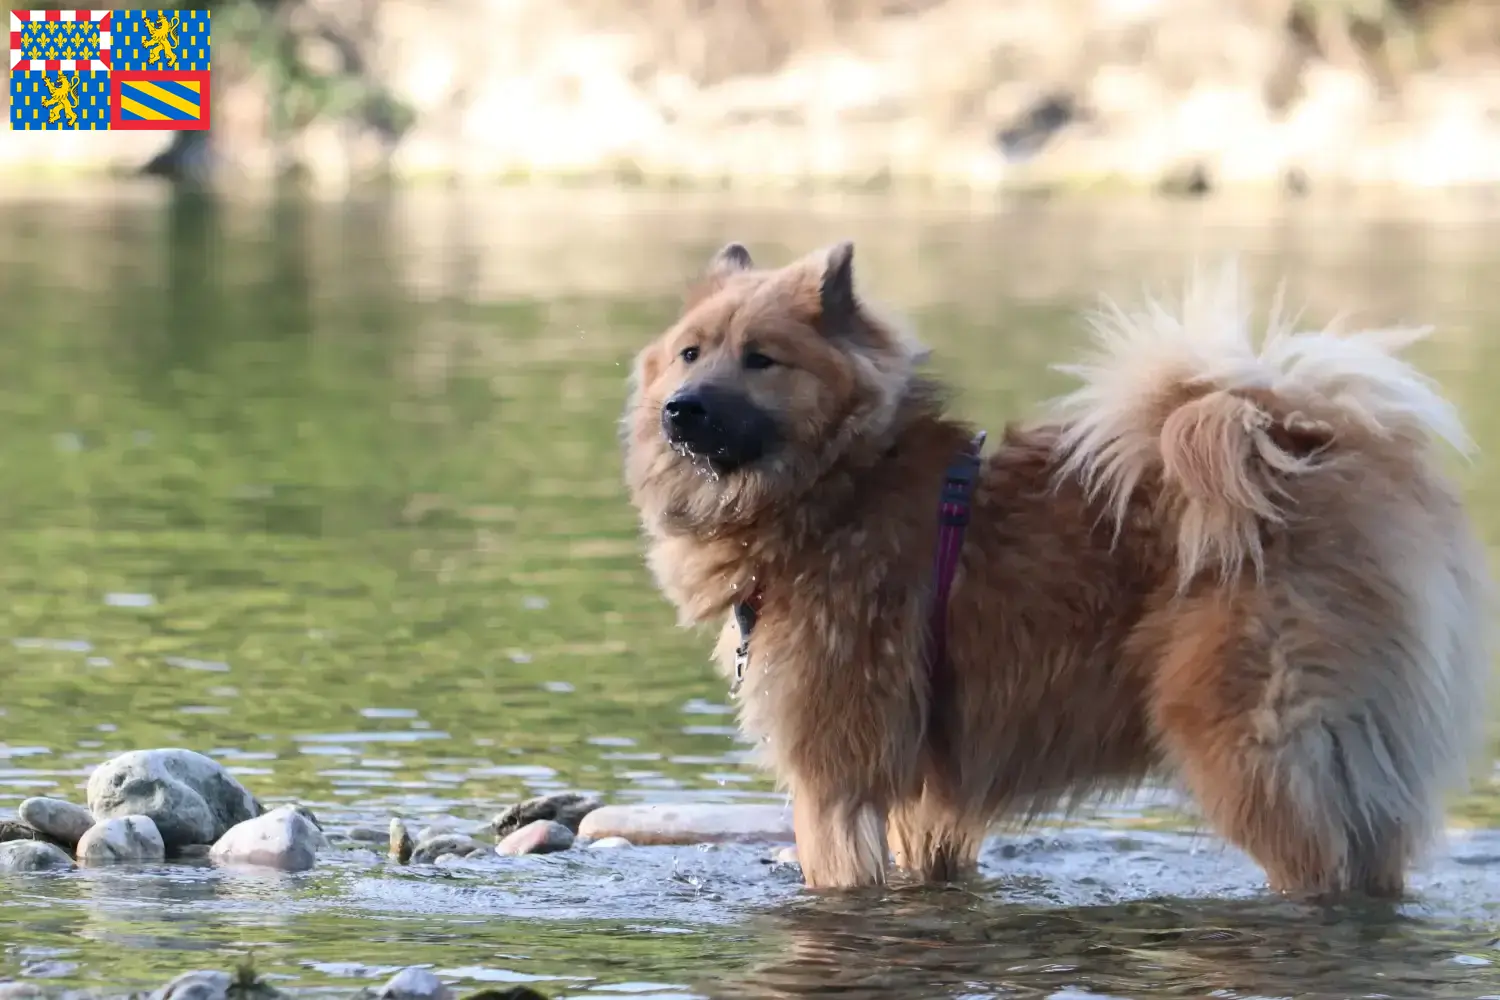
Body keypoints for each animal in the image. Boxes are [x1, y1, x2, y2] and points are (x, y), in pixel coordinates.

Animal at [621, 244, 1488, 899]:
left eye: (761, 359)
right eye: (691, 353)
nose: (681, 408)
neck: (844, 481)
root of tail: (1313, 443)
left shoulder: (834, 778)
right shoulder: (926, 794)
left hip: (1247, 747)